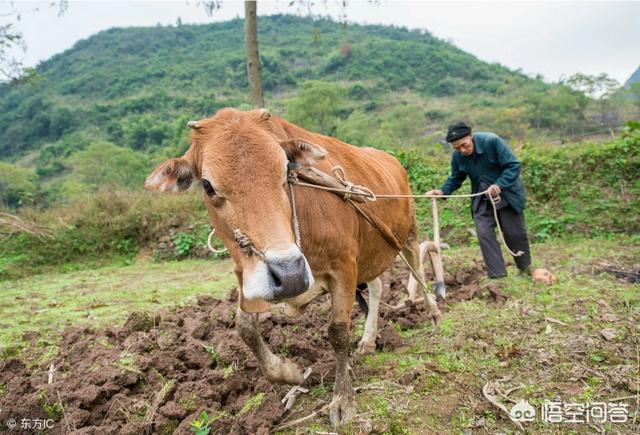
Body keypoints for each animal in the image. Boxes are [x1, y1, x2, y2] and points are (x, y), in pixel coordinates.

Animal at [144, 108, 440, 426]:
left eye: (285, 171)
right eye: (208, 186)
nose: (290, 274)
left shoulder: (344, 268)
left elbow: (337, 333)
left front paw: (343, 399)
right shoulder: (251, 278)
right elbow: (245, 327)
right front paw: (291, 372)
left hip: (408, 234)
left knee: (418, 268)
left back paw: (434, 313)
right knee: (376, 286)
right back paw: (368, 340)